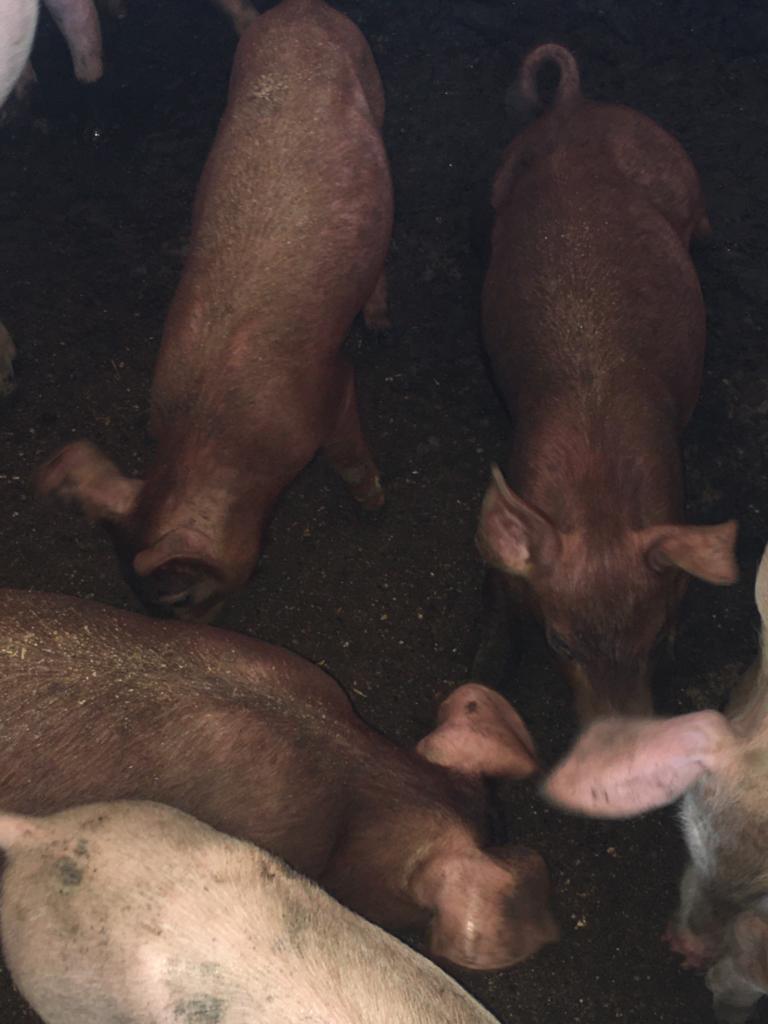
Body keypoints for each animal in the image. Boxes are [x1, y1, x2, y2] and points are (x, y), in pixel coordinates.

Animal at [37, 0, 392, 621]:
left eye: (181, 599)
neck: (217, 437)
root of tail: (295, 11)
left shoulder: (328, 386)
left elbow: (348, 447)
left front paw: (374, 503)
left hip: (369, 77)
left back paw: (380, 324)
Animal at [474, 42, 738, 721]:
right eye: (560, 642)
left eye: (653, 641)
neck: (597, 499)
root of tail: (574, 106)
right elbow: (500, 608)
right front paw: (488, 669)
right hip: (504, 171)